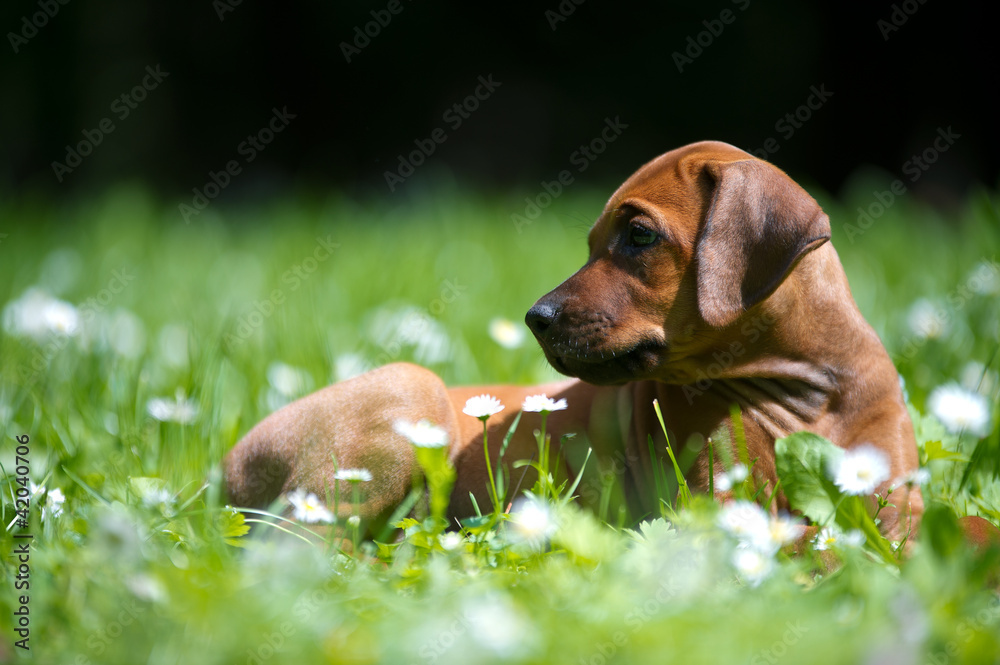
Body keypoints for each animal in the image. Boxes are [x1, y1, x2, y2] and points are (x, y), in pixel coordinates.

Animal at [223, 140, 924, 540]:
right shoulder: (722, 508)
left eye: (638, 236)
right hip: (404, 392)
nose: (536, 316)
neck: (806, 390)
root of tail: (223, 471)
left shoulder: (898, 504)